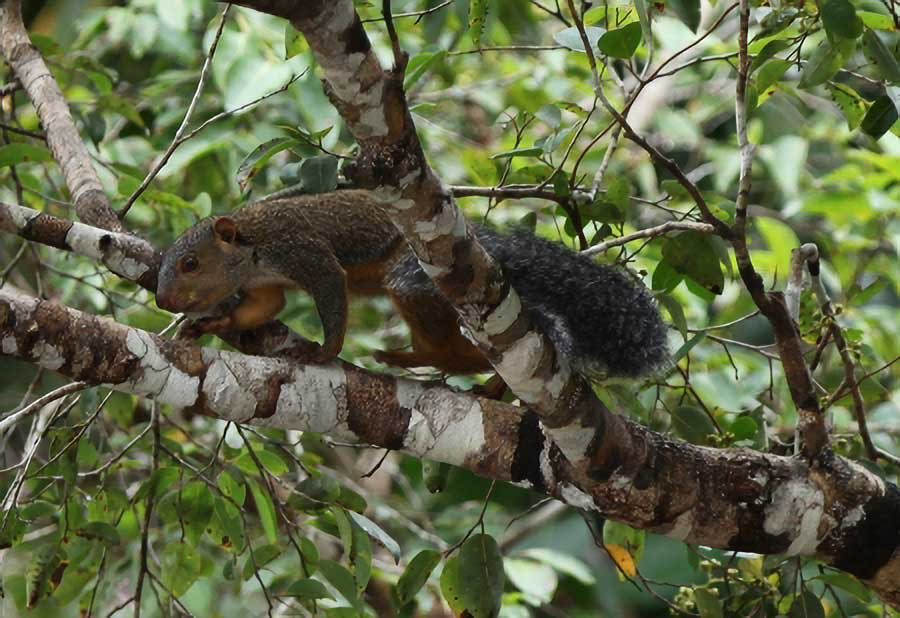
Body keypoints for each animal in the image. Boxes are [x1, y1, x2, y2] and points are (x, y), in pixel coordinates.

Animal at [156, 190, 668, 378]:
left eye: (189, 263)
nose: (162, 299)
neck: (252, 248)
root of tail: (484, 245)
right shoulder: (267, 284)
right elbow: (264, 307)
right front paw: (209, 325)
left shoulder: (303, 251)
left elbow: (331, 291)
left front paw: (324, 352)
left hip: (413, 273)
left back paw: (425, 359)